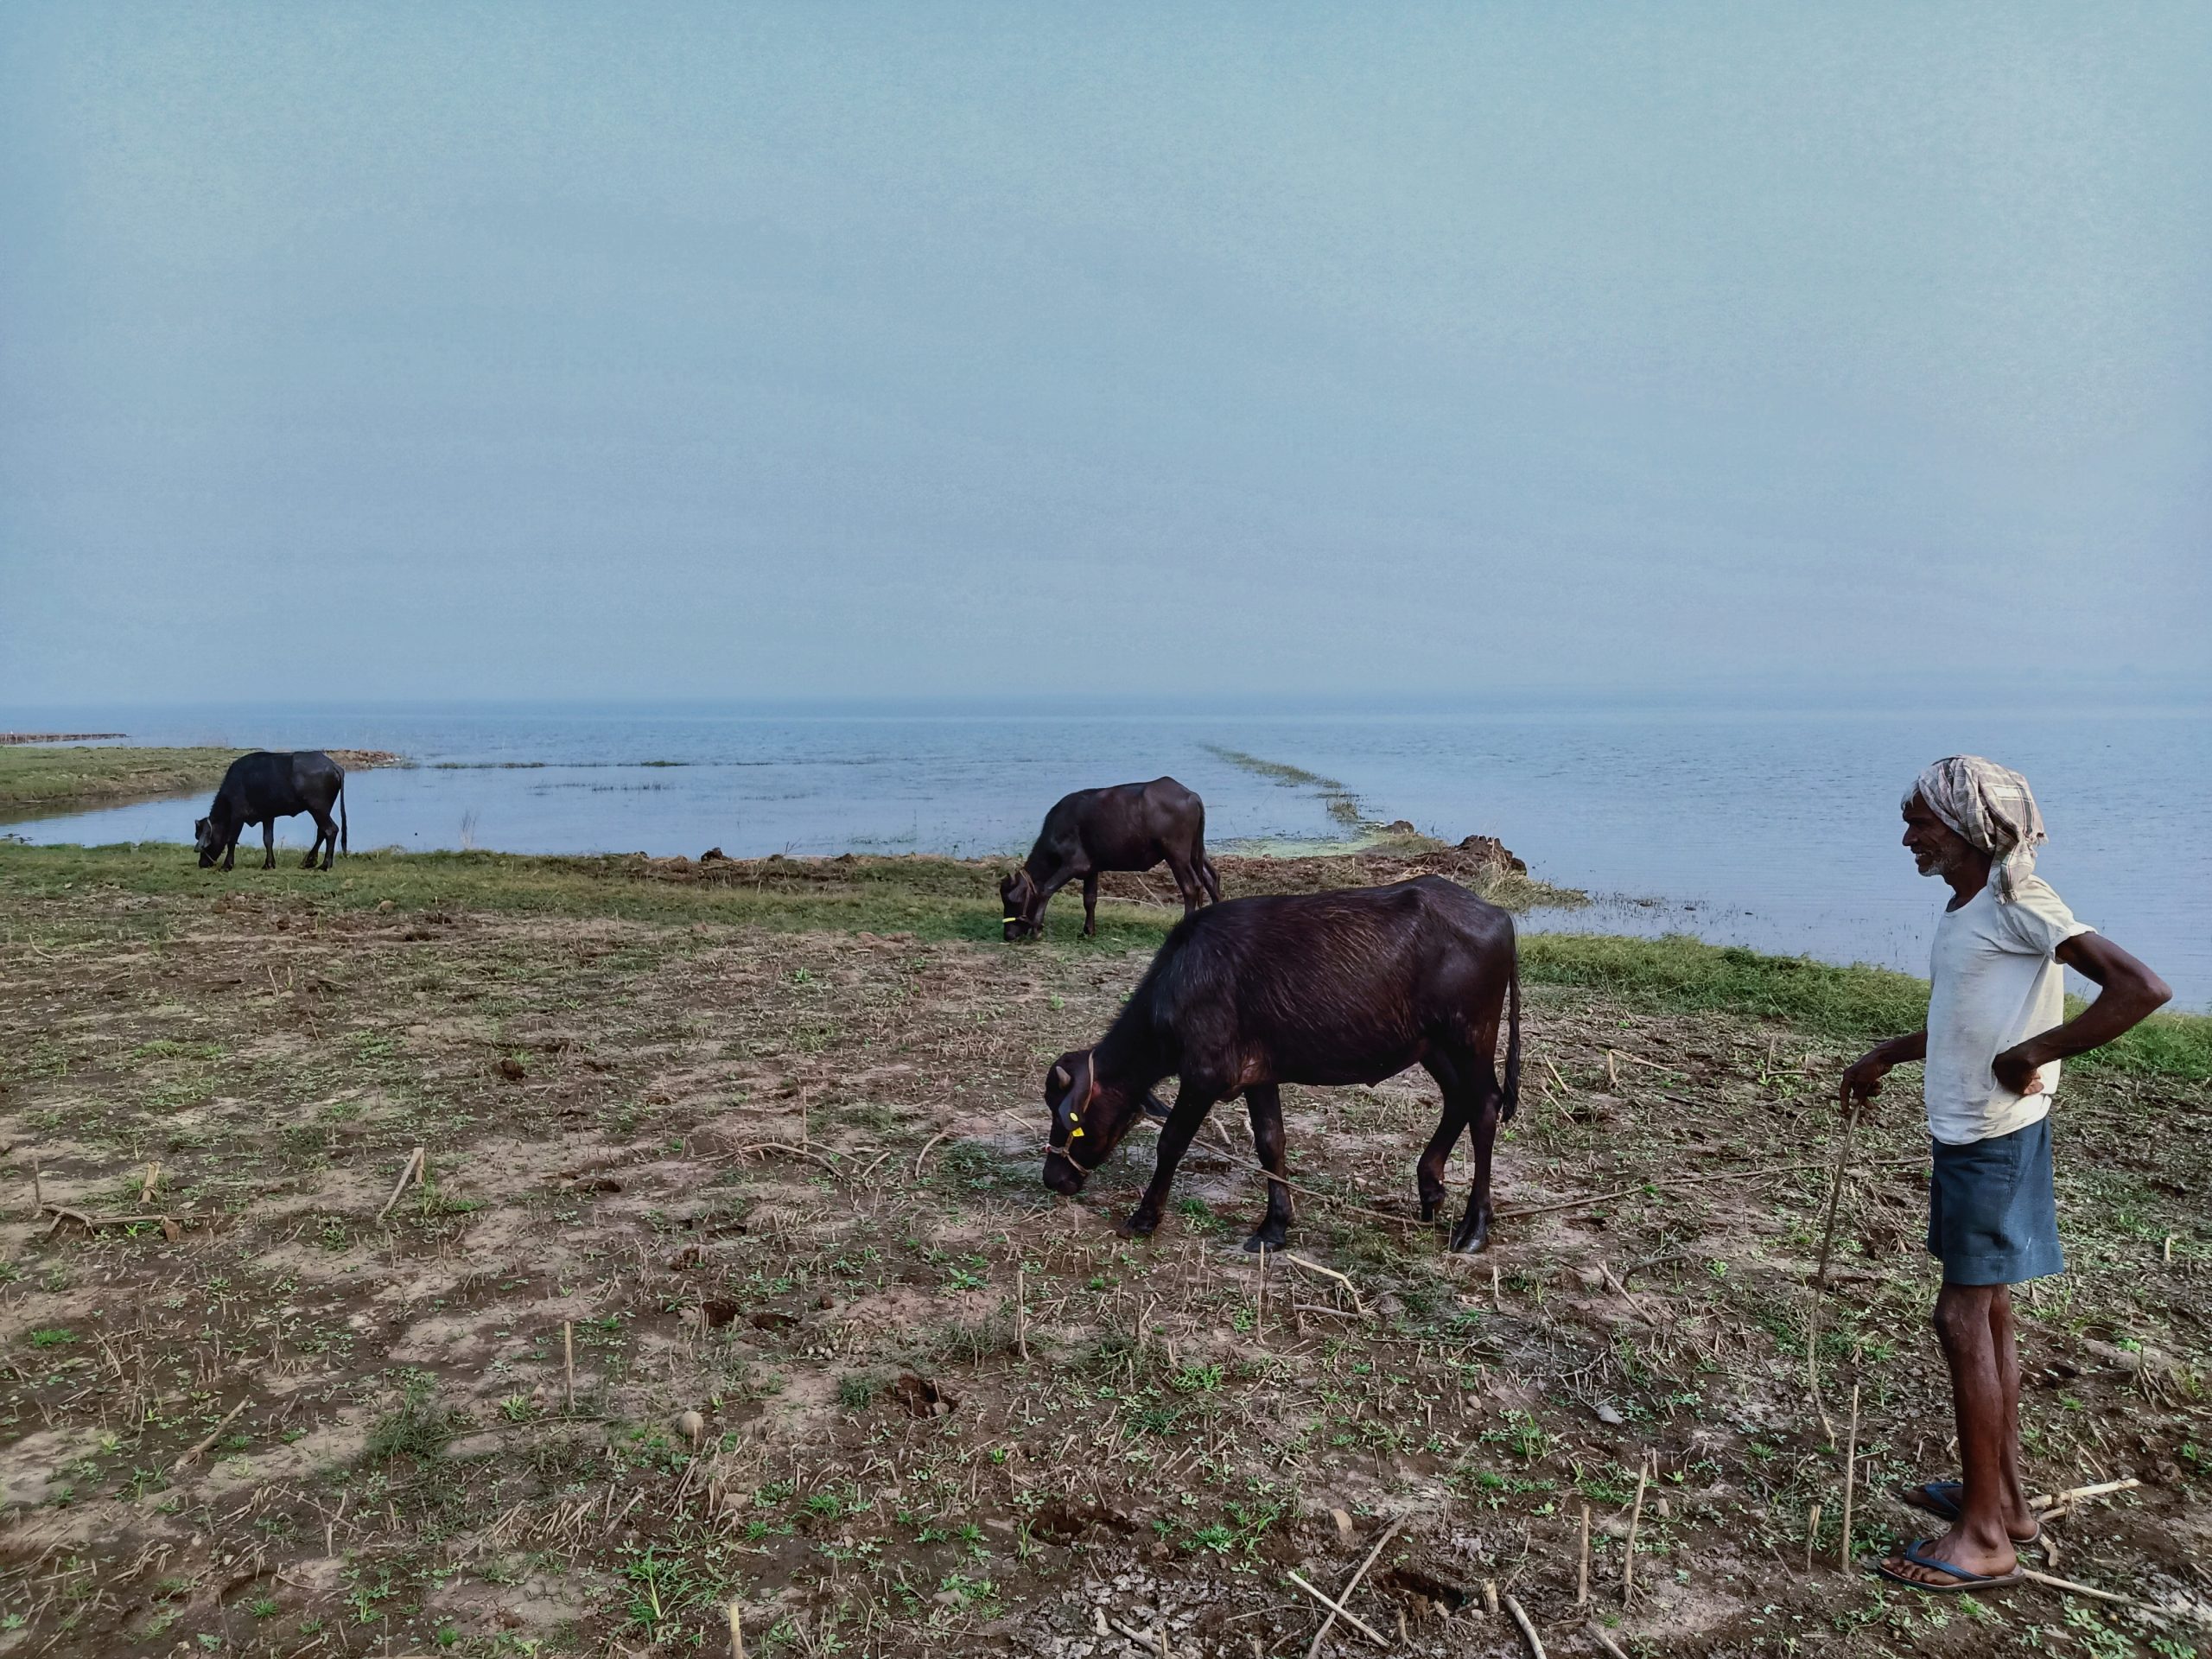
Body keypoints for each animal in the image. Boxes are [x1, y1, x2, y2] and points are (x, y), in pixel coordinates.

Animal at [194, 752, 346, 875]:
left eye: (199, 836)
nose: (202, 863)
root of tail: (333, 766)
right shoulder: (268, 817)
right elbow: (268, 839)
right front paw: (268, 864)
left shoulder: (238, 816)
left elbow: (231, 840)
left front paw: (227, 865)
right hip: (323, 810)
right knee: (322, 832)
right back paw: (309, 861)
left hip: (317, 809)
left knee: (331, 830)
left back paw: (325, 865)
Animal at [1008, 779, 1230, 942]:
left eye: (1012, 900)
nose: (1008, 934)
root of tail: (1190, 795)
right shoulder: (1092, 868)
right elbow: (1090, 899)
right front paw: (1088, 930)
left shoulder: (1074, 865)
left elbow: (1046, 889)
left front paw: (1037, 930)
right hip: (1196, 852)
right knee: (1211, 878)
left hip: (1176, 854)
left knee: (1192, 887)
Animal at [1035, 875, 1522, 1256]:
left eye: (1068, 1119)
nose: (1053, 1178)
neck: (1181, 983)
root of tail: (1498, 915)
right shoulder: (1259, 1077)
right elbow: (1271, 1143)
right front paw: (1274, 1227)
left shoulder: (1204, 1078)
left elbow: (1171, 1141)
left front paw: (1144, 1217)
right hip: (1433, 1046)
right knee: (1458, 1099)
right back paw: (1430, 1189)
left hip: (1469, 1037)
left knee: (1485, 1105)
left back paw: (1475, 1227)